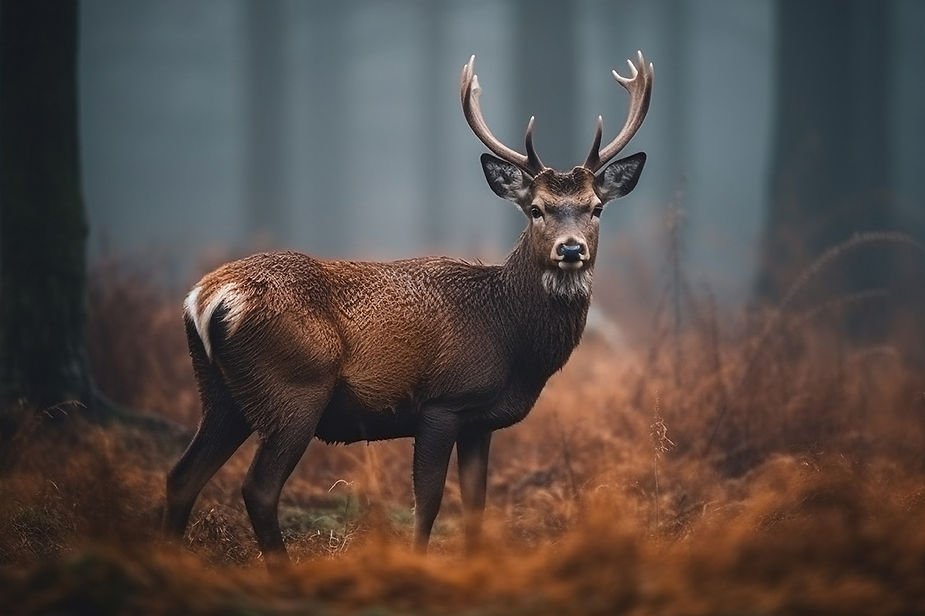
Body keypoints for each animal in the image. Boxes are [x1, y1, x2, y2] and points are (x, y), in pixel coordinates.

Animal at [163, 51, 653, 565]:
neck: (510, 338)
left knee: (181, 476)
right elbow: (430, 499)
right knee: (258, 487)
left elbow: (476, 502)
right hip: (293, 389)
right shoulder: (443, 400)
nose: (571, 248)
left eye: (596, 207)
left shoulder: (480, 421)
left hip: (220, 392)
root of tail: (207, 297)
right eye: (535, 208)